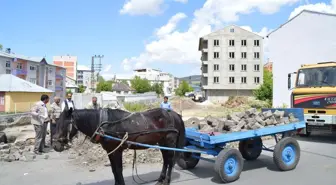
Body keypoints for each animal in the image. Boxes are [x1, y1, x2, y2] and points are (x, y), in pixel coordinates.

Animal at [51, 107, 186, 185]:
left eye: (65, 124)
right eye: (56, 123)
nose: (55, 145)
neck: (104, 124)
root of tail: (174, 114)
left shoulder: (117, 150)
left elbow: (119, 170)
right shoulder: (110, 151)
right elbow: (114, 170)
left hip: (169, 141)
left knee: (170, 160)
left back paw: (166, 180)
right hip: (162, 142)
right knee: (165, 160)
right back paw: (160, 179)